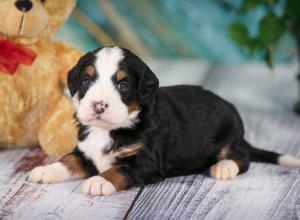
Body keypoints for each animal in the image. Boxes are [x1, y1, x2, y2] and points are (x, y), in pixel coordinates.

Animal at [28, 46, 300, 196]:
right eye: (86, 81)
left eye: (123, 85)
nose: (98, 105)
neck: (109, 129)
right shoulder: (84, 151)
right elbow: (68, 159)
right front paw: (46, 170)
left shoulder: (146, 162)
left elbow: (119, 170)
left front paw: (98, 181)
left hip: (230, 136)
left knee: (243, 158)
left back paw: (224, 167)